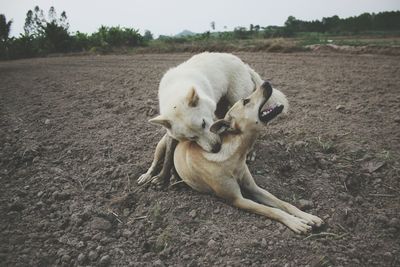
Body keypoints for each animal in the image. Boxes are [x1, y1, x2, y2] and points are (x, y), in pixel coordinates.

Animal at [138, 53, 288, 185]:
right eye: (192, 138)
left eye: (204, 123)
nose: (216, 148)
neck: (176, 91)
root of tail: (244, 65)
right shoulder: (173, 135)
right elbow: (169, 156)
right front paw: (163, 177)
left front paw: (172, 177)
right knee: (155, 162)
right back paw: (147, 175)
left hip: (237, 99)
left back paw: (250, 152)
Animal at [173, 81, 324, 234]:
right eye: (246, 101)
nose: (266, 82)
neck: (233, 156)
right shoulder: (237, 199)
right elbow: (273, 210)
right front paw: (295, 222)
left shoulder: (254, 188)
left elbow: (284, 204)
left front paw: (307, 216)